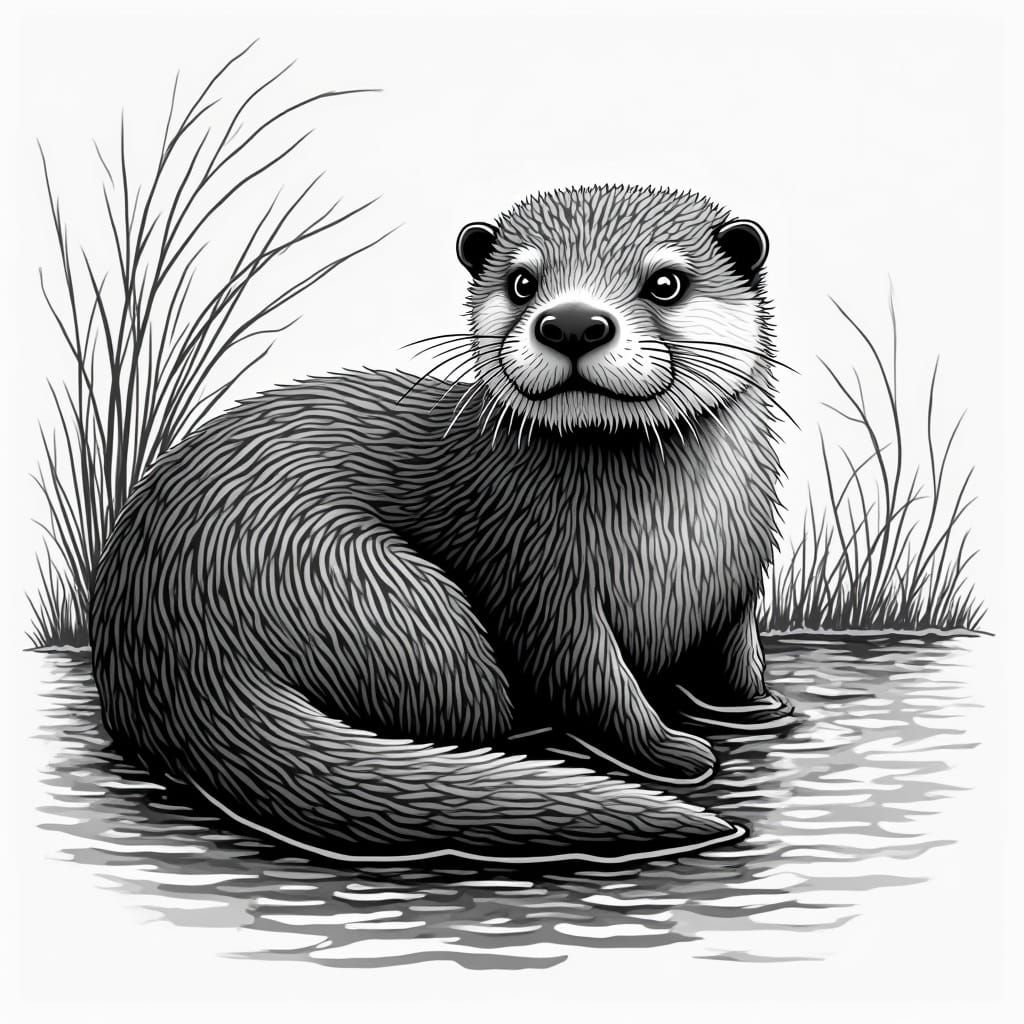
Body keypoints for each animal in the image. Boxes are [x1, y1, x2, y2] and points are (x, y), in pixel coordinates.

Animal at [90, 184, 792, 865]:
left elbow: (733, 652)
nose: (570, 323)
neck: (677, 542)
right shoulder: (532, 570)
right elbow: (589, 680)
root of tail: (171, 643)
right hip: (390, 598)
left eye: (666, 282)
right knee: (471, 712)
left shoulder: (740, 570)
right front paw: (668, 751)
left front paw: (756, 706)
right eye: (522, 281)